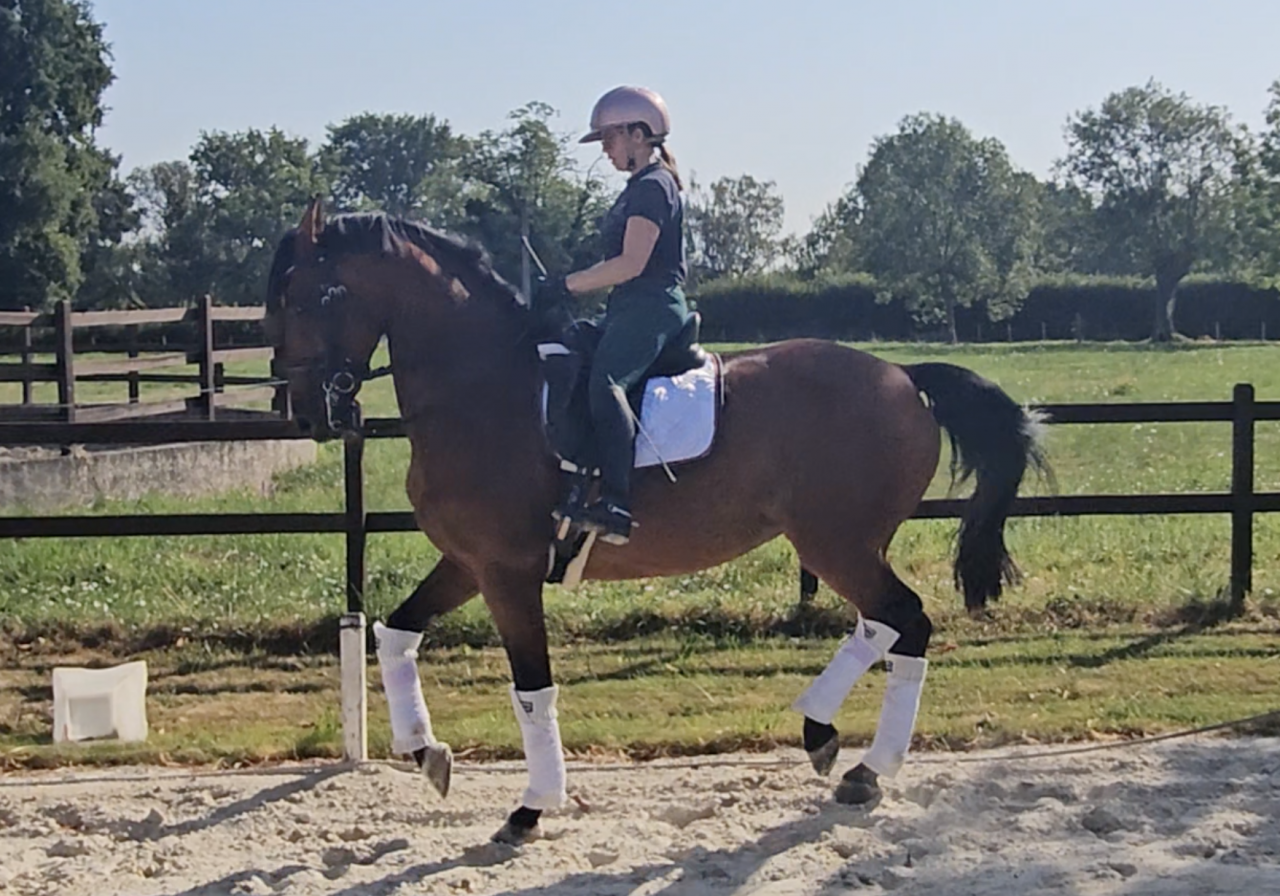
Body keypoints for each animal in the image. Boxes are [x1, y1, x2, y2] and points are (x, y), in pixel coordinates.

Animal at [265, 199, 1049, 845]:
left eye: (309, 297)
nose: (302, 412)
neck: (482, 388)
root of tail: (905, 377)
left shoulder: (507, 572)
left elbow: (532, 689)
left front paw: (531, 808)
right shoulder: (468, 562)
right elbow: (394, 634)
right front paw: (426, 752)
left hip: (837, 542)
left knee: (905, 619)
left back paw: (863, 762)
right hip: (848, 543)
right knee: (884, 624)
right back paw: (827, 738)